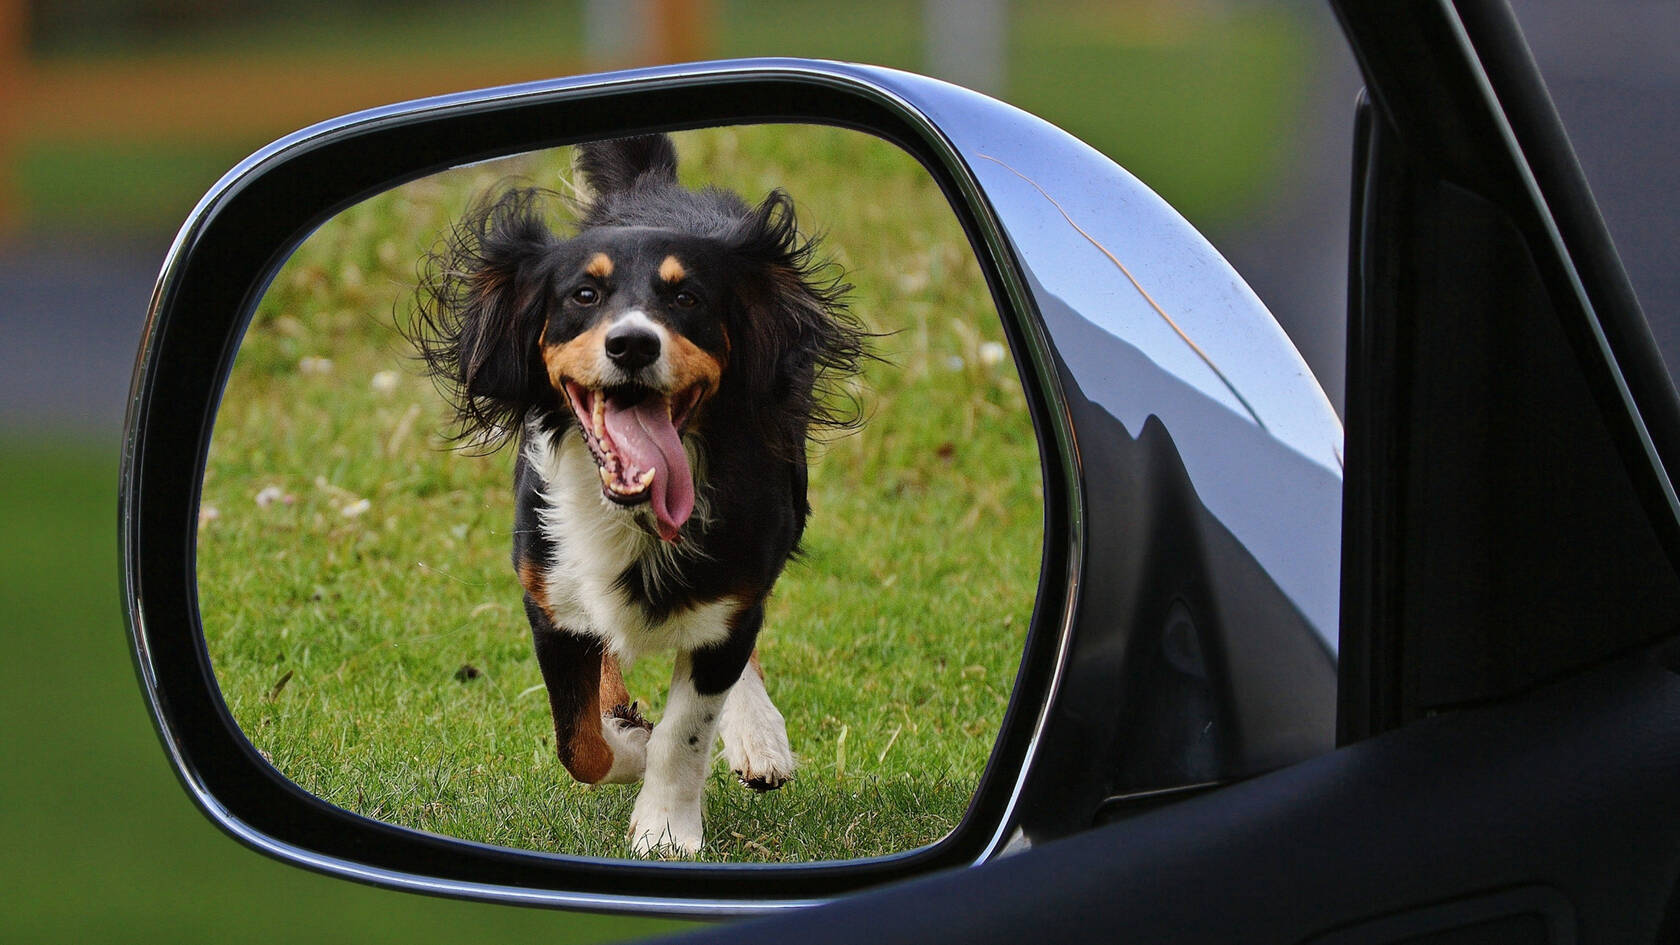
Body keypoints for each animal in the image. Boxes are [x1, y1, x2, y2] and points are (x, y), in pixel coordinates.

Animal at [406, 134, 866, 854]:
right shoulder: (551, 597)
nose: (631, 343)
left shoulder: (734, 589)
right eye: (583, 294)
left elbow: (686, 730)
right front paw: (630, 739)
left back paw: (759, 738)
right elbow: (580, 741)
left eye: (688, 299)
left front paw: (667, 830)